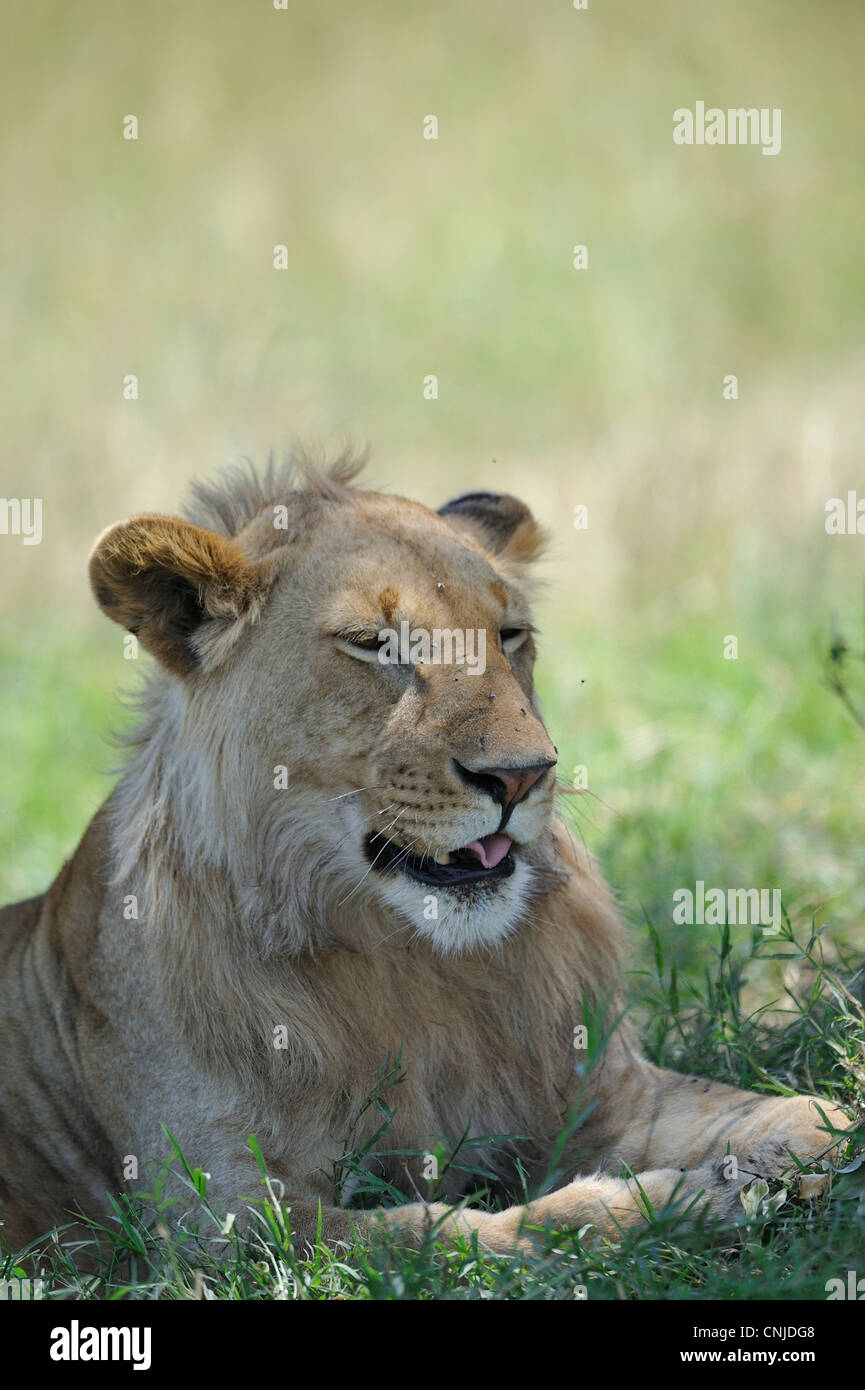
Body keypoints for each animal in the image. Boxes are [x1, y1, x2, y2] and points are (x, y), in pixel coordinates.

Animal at [0, 452, 852, 1259]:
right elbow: (455, 1232)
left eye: (509, 635)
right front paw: (683, 1203)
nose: (521, 775)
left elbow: (807, 1114)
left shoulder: (609, 1096)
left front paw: (781, 1156)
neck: (407, 963)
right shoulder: (226, 1223)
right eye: (374, 644)